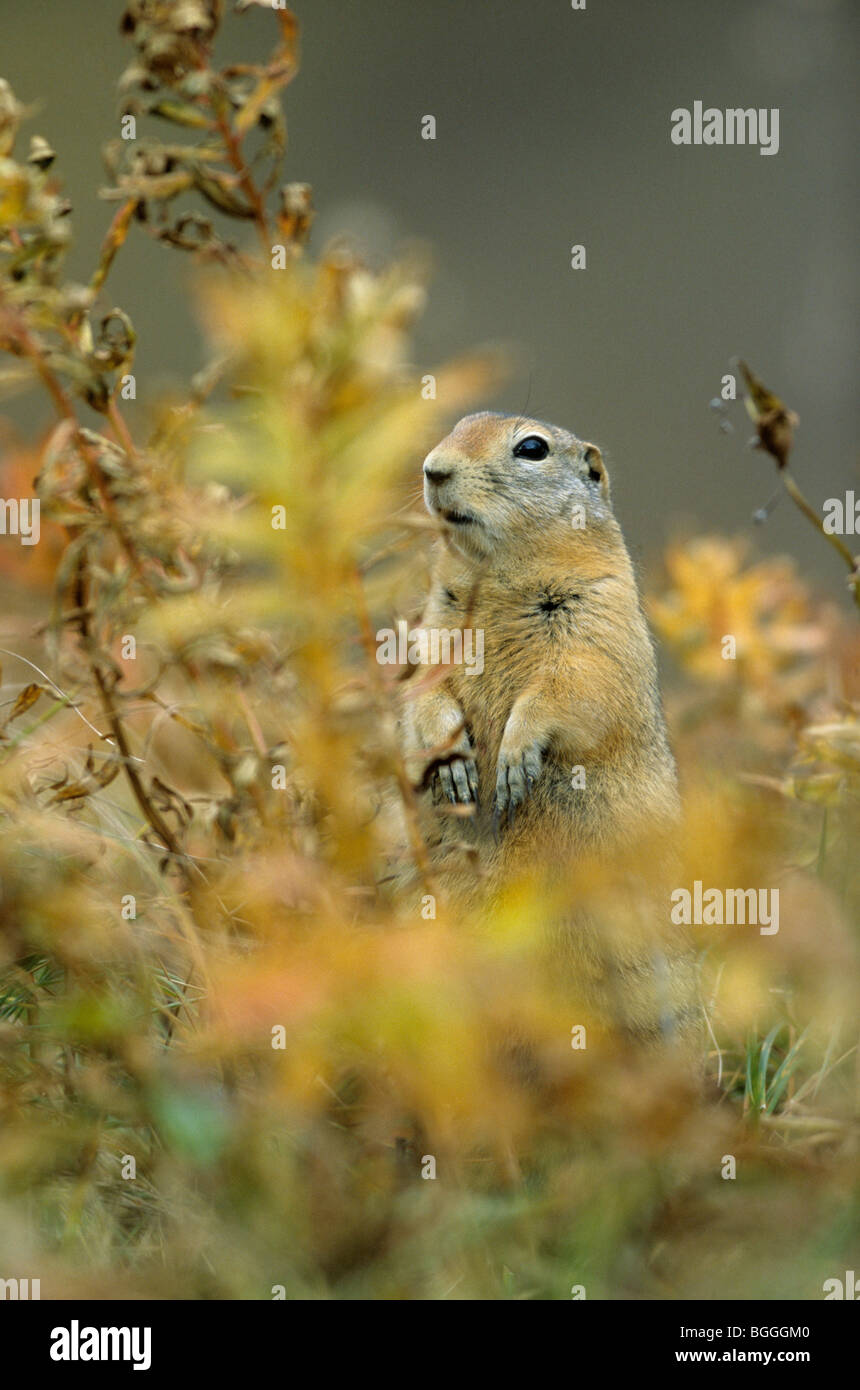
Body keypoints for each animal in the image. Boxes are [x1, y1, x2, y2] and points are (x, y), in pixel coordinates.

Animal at [402, 411, 700, 1050]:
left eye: (532, 449)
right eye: (460, 424)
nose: (433, 469)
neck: (495, 575)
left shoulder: (597, 622)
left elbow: (565, 691)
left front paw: (514, 761)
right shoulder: (433, 628)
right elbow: (422, 693)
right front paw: (453, 762)